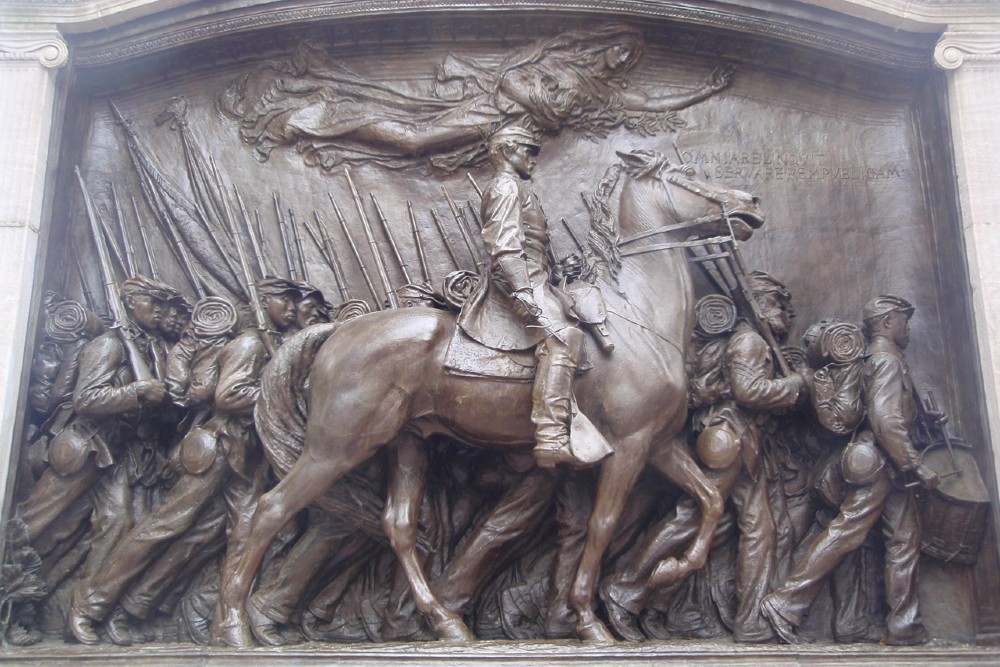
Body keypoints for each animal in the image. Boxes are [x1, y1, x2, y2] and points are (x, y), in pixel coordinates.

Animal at [215, 149, 764, 644]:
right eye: (689, 174)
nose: (751, 202)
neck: (638, 315)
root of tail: (337, 331)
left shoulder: (660, 444)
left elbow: (710, 499)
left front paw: (670, 569)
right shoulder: (628, 448)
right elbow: (602, 526)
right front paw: (590, 620)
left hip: (406, 443)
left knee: (398, 525)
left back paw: (446, 623)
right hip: (337, 446)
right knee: (269, 510)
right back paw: (237, 626)